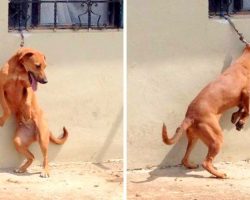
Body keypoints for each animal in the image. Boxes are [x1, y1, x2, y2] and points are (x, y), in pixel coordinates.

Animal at [0, 47, 68, 177]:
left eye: (45, 66)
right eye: (37, 66)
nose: (46, 81)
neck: (18, 69)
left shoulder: (28, 86)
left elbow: (27, 100)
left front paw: (27, 112)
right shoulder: (1, 88)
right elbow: (6, 109)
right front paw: (2, 120)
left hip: (42, 138)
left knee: (45, 157)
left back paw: (45, 171)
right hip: (18, 141)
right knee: (32, 157)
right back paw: (22, 168)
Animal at [162, 45, 250, 178]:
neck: (245, 61)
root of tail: (190, 116)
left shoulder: (241, 99)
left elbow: (241, 109)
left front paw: (236, 118)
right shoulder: (246, 93)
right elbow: (247, 110)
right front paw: (241, 121)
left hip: (194, 138)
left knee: (184, 158)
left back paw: (191, 165)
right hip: (216, 139)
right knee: (206, 163)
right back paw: (219, 174)